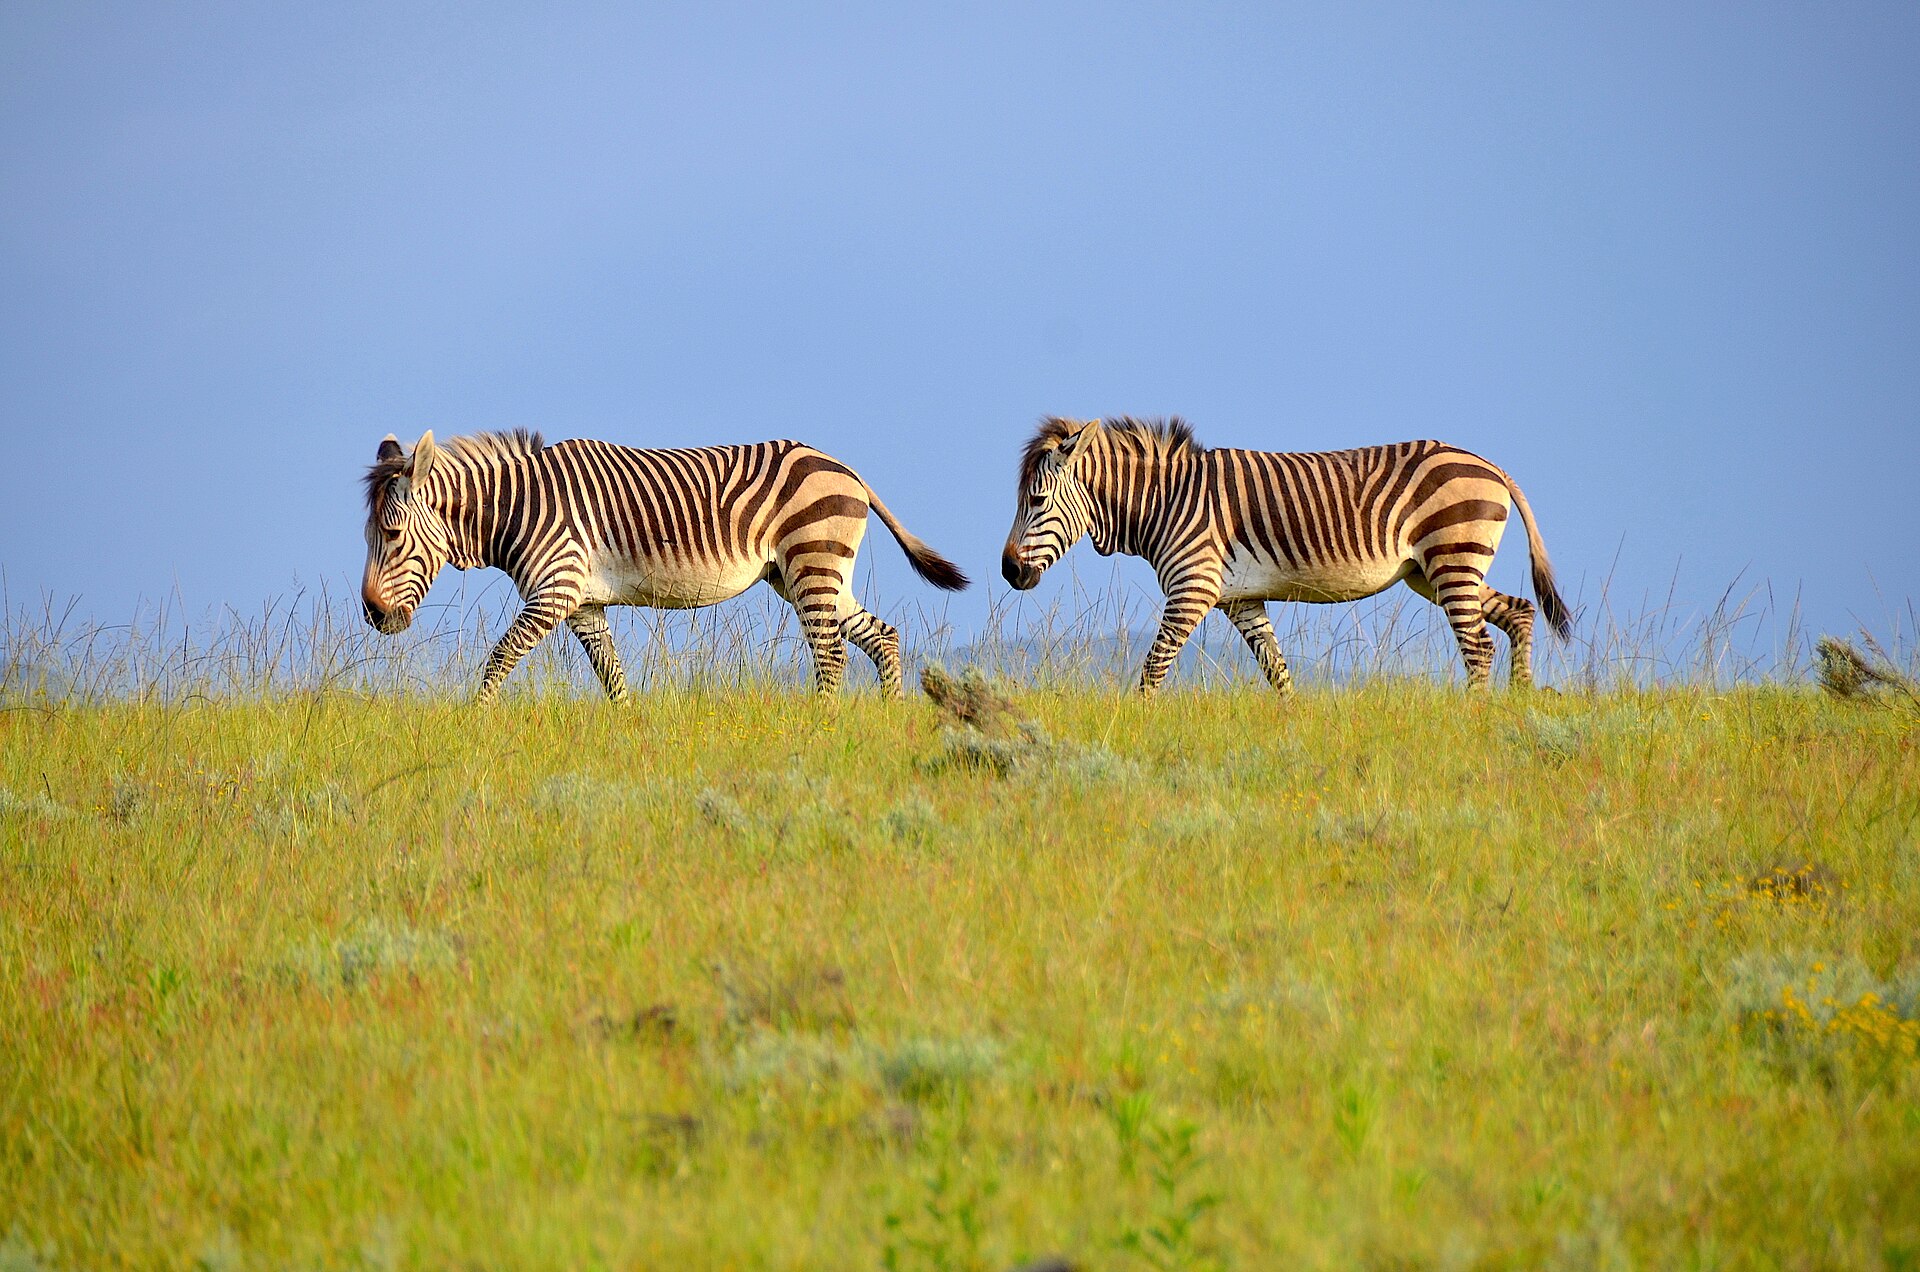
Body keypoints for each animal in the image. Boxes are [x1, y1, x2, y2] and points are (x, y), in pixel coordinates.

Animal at [362, 429, 968, 701]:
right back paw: (885, 716)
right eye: (367, 535)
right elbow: (610, 675)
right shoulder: (582, 604)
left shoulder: (554, 590)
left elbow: (498, 660)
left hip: (811, 561)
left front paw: (477, 721)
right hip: (806, 573)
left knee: (831, 653)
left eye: (391, 535)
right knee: (881, 636)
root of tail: (846, 468)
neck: (519, 510)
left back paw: (823, 725)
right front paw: (627, 732)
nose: (372, 615)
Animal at [1000, 416, 1572, 694]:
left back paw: (1473, 719)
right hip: (1433, 573)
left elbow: (1152, 669)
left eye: (1037, 501)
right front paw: (1292, 730)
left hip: (1452, 559)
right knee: (1520, 612)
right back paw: (1519, 705)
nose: (1007, 571)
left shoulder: (1192, 589)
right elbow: (1276, 670)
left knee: (1478, 648)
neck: (1167, 501)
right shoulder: (1240, 599)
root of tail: (1492, 466)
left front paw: (1136, 728)